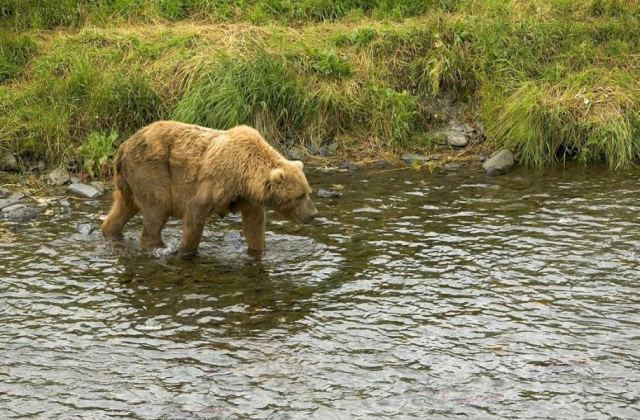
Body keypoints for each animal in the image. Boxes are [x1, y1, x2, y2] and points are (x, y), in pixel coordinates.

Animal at [101, 121, 318, 257]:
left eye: (308, 192)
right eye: (299, 195)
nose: (314, 213)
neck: (245, 175)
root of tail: (123, 147)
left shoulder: (245, 197)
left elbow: (254, 224)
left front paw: (259, 250)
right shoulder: (216, 182)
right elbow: (194, 215)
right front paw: (186, 250)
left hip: (128, 182)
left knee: (122, 208)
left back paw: (109, 231)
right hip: (151, 172)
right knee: (157, 209)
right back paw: (157, 246)